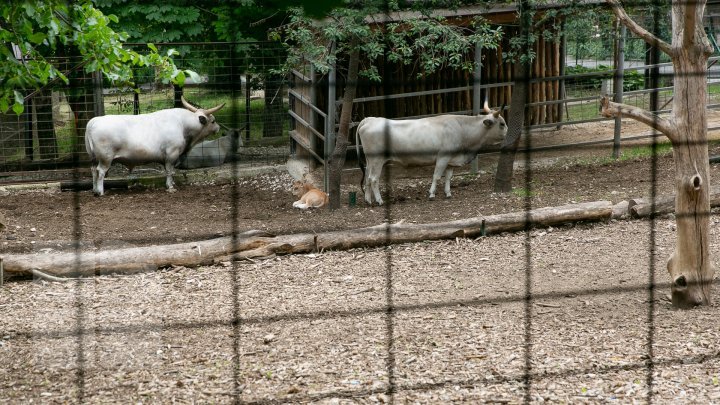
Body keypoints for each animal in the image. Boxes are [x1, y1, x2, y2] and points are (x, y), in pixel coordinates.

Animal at [85, 96, 225, 194]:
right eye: (213, 121)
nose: (218, 128)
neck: (183, 125)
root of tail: (94, 121)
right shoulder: (172, 154)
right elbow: (169, 171)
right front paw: (170, 186)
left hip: (93, 157)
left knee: (93, 170)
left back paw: (94, 190)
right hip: (105, 157)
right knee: (100, 171)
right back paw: (100, 192)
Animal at [356, 99, 506, 204]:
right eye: (502, 124)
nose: (508, 134)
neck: (461, 128)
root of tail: (369, 119)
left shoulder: (451, 159)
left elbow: (448, 177)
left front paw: (448, 193)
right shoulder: (442, 157)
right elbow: (436, 176)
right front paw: (432, 194)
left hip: (370, 161)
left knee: (367, 179)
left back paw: (368, 200)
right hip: (377, 160)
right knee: (373, 179)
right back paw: (379, 201)